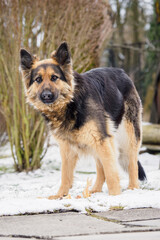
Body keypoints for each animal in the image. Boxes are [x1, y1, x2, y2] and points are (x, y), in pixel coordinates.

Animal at [19, 41, 146, 199]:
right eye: (38, 80)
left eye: (54, 77)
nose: (47, 95)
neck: (70, 103)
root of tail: (122, 72)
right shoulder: (67, 147)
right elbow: (65, 175)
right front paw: (60, 195)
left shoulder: (102, 140)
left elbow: (111, 173)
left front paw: (115, 196)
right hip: (96, 141)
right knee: (101, 168)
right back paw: (95, 190)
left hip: (127, 137)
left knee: (132, 163)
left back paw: (133, 188)